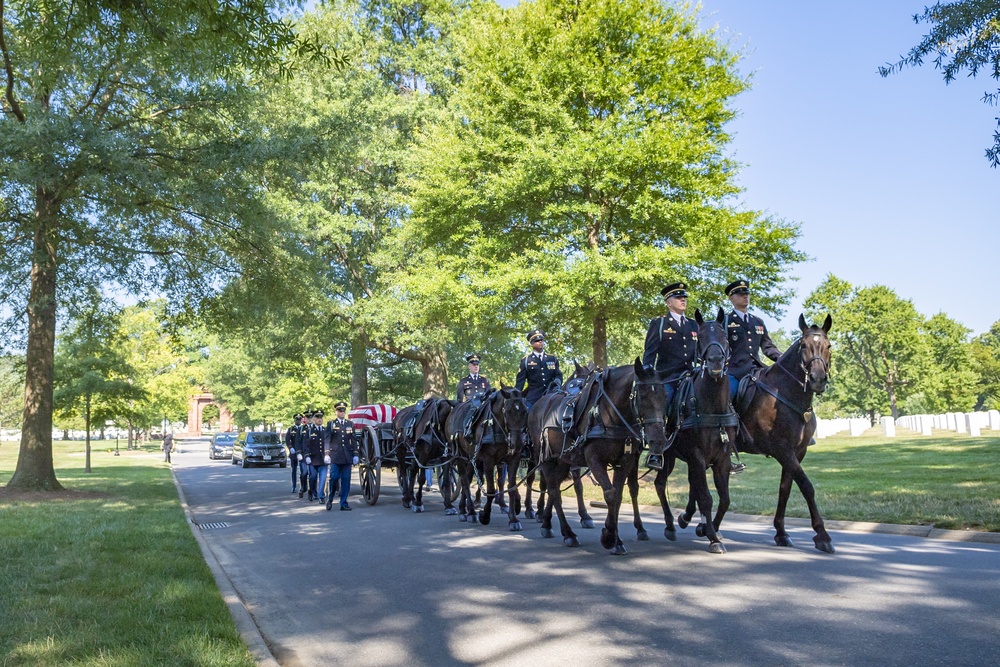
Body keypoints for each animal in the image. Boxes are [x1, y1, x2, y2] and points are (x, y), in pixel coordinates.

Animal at [528, 358, 668, 556]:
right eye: (641, 396)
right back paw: (568, 534)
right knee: (554, 490)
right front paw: (609, 536)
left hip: (563, 460)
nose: (659, 440)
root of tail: (540, 403)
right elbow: (610, 494)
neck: (609, 415)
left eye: (664, 396)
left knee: (553, 488)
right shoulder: (594, 460)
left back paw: (547, 523)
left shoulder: (625, 462)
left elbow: (618, 497)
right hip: (546, 459)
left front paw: (616, 539)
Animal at [652, 310, 740, 556]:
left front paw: (708, 529)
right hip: (668, 457)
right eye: (700, 337)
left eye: (724, 335)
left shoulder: (721, 459)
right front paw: (712, 537)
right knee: (660, 484)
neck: (712, 406)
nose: (716, 361)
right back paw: (671, 524)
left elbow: (724, 498)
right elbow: (707, 497)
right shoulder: (698, 457)